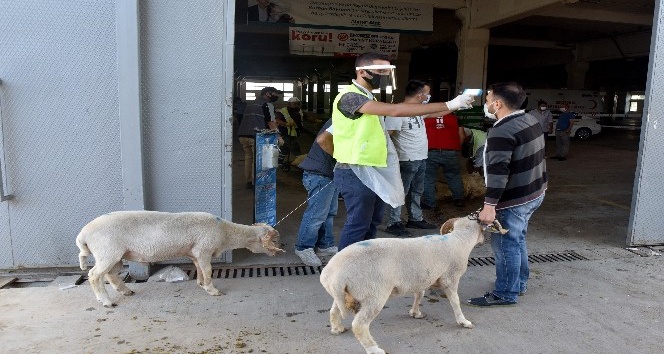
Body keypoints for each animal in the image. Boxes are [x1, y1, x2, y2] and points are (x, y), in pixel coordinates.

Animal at [75, 210, 282, 306]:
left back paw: (126, 291)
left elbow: (199, 268)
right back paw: (106, 301)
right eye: (275, 239)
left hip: (114, 255)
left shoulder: (195, 252)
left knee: (111, 274)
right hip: (107, 251)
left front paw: (200, 284)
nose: (280, 250)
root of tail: (83, 234)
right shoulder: (204, 249)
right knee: (94, 275)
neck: (225, 233)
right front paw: (213, 290)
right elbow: (208, 269)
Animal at [320, 216, 486, 354]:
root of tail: (334, 275)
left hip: (343, 294)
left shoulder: (422, 278)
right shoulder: (450, 278)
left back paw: (337, 329)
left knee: (334, 311)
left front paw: (415, 313)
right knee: (359, 325)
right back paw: (374, 349)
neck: (459, 240)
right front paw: (464, 322)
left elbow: (419, 294)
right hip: (374, 294)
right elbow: (455, 302)